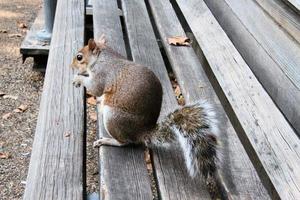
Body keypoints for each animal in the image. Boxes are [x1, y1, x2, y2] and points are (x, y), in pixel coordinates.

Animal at [69, 36, 220, 197]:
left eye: (79, 57)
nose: (70, 66)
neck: (102, 56)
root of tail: (142, 132)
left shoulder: (101, 75)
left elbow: (95, 88)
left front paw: (78, 79)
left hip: (113, 117)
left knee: (125, 142)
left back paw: (108, 140)